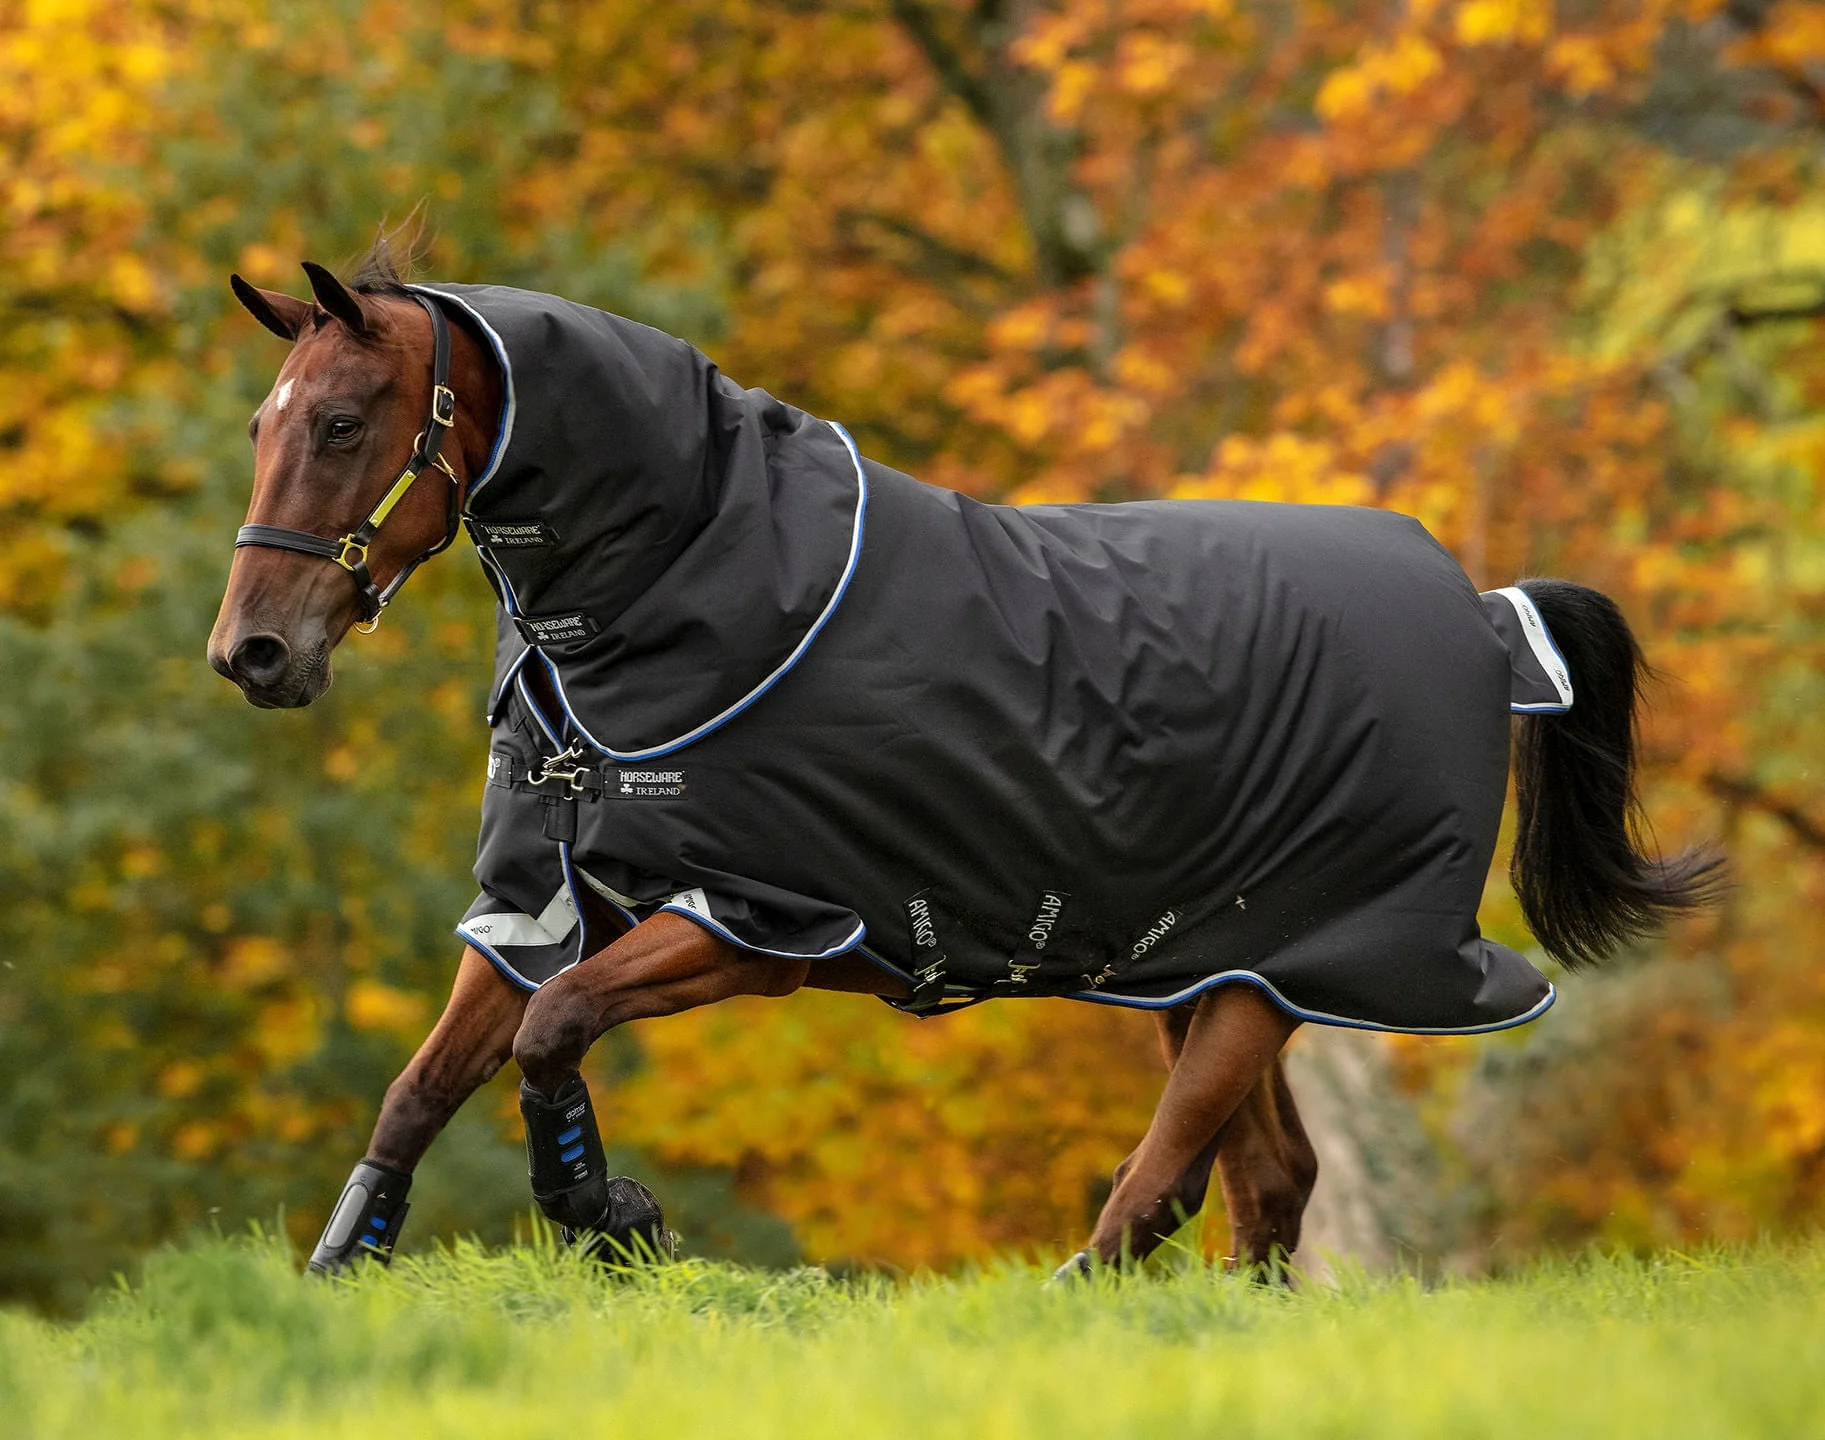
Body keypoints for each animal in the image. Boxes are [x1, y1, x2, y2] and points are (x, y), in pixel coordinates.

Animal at [209, 251, 1720, 1278]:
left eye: (342, 422)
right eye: (261, 424)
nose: (254, 652)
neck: (688, 588)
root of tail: (1484, 613)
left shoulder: (759, 925)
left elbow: (551, 1030)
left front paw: (608, 1215)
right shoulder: (542, 901)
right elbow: (427, 1080)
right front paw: (348, 1260)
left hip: (1292, 962)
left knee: (1164, 1186)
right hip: (1204, 965)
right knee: (1265, 1184)